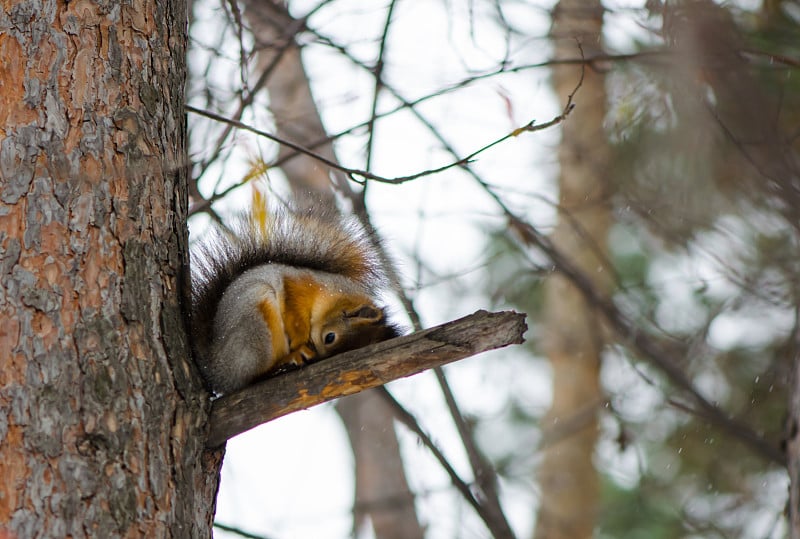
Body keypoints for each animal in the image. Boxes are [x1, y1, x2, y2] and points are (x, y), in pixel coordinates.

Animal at [188, 208, 400, 396]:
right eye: (329, 338)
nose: (317, 354)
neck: (337, 296)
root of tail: (217, 371)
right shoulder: (297, 282)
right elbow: (294, 309)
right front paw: (300, 337)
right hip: (254, 325)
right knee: (252, 376)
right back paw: (286, 360)